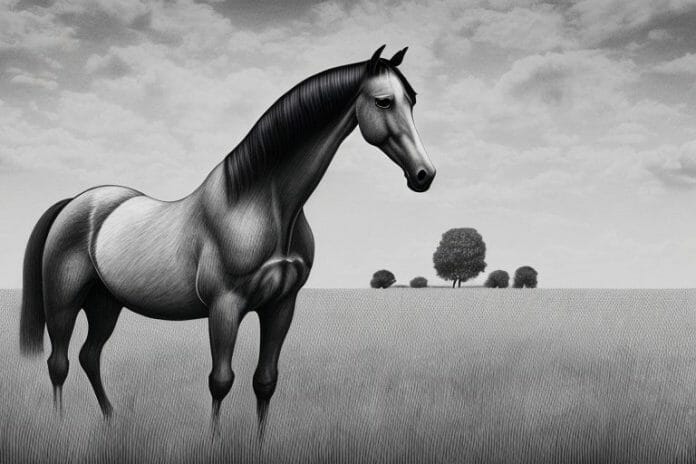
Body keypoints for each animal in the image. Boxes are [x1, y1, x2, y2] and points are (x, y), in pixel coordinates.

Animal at [19, 45, 436, 439]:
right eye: (384, 101)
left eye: (413, 99)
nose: (424, 175)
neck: (258, 204)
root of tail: (77, 202)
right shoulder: (225, 306)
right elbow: (221, 381)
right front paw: (214, 442)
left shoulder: (281, 306)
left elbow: (265, 381)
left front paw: (260, 442)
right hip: (64, 300)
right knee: (59, 363)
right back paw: (59, 426)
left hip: (106, 303)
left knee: (90, 356)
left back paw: (111, 418)